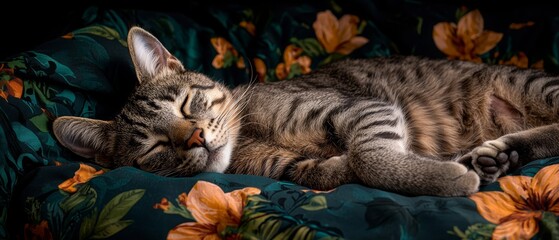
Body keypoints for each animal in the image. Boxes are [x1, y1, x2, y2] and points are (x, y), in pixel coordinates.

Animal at [51, 26, 559, 196]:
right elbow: (334, 170)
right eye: (154, 149)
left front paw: (445, 178)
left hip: (533, 86)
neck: (250, 139)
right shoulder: (291, 168)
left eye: (185, 104)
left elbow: (370, 157)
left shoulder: (362, 108)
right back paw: (499, 156)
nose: (194, 138)